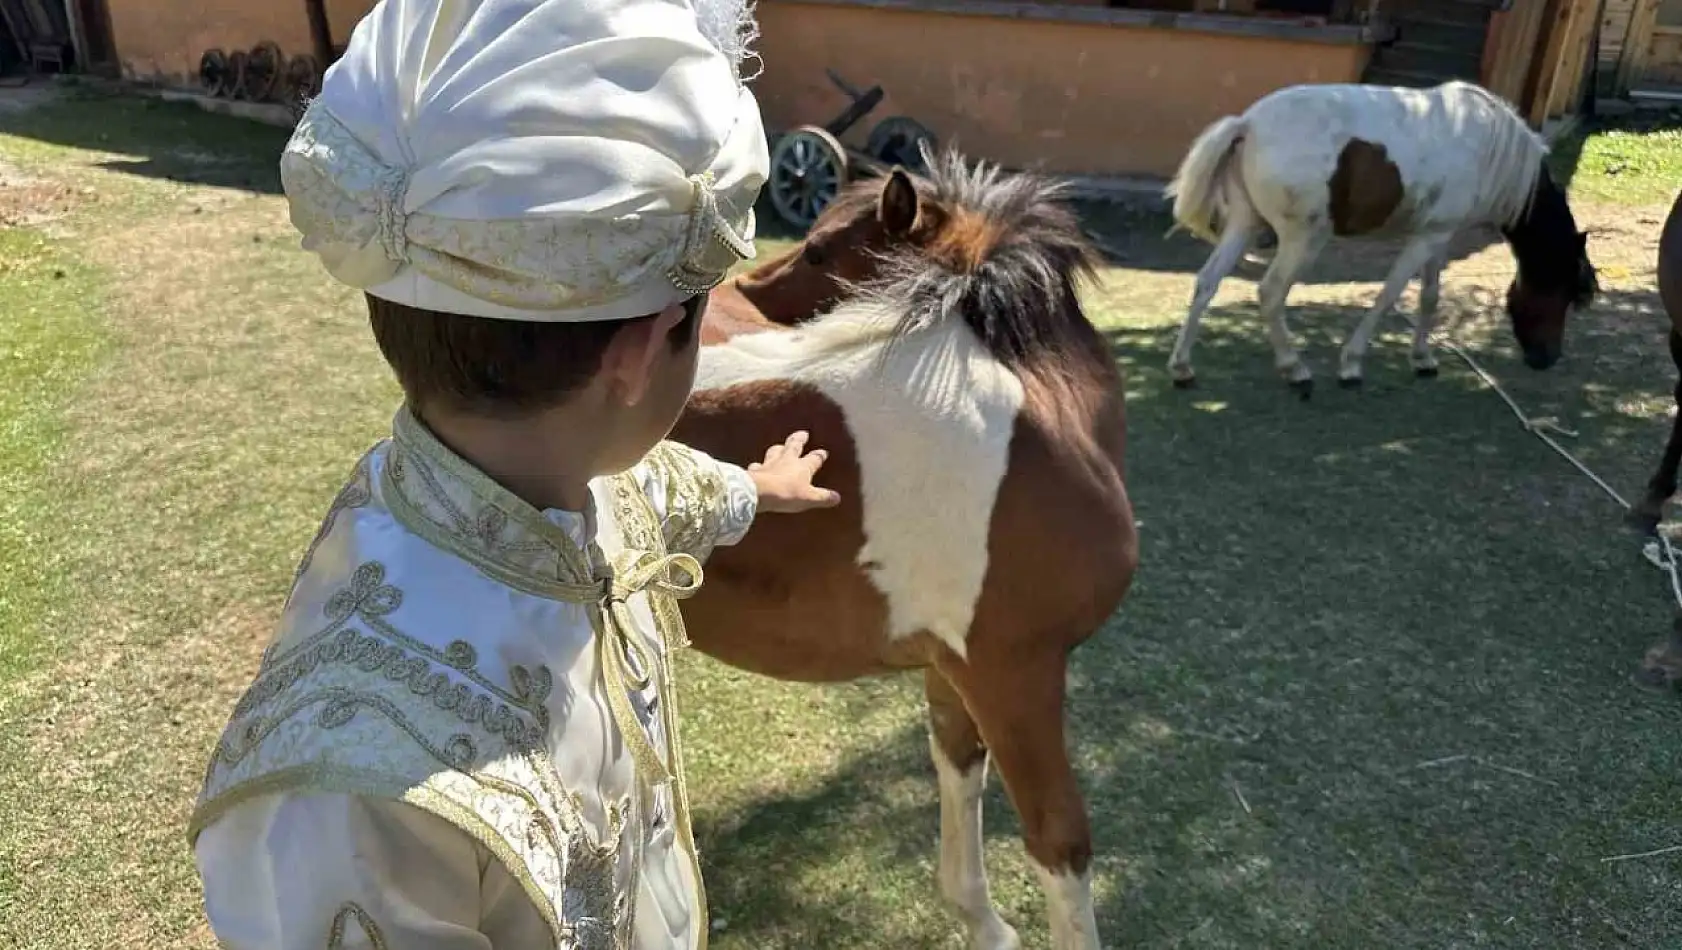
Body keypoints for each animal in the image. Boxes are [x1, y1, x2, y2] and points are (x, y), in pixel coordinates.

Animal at [676, 149, 1137, 948]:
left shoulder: (957, 673)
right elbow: (1060, 842)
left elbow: (959, 773)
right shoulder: (1014, 675)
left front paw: (985, 925)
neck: (1038, 423)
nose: (740, 292)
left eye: (820, 251)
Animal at [1163, 76, 1594, 396]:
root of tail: (1248, 125)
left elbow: (1429, 296)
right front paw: (1351, 365)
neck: (1489, 147)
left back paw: (1182, 367)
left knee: (1207, 282)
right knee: (1270, 293)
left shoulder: (1437, 235)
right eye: (1566, 289)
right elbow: (1389, 294)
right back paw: (1294, 368)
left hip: (1245, 225)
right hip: (1303, 240)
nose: (1547, 358)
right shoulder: (1426, 239)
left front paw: (1422, 359)